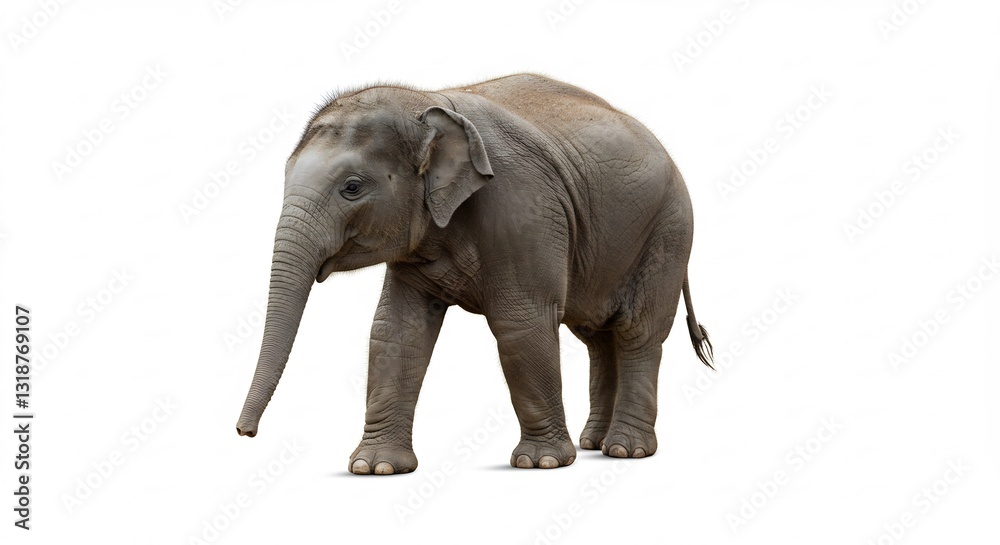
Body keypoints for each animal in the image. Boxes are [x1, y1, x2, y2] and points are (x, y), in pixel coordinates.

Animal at [235, 73, 713, 474]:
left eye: (352, 187)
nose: (244, 432)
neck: (427, 102)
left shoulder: (522, 207)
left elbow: (521, 323)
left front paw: (541, 463)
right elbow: (396, 330)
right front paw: (375, 468)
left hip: (668, 232)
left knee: (637, 331)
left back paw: (625, 451)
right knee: (597, 336)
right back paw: (594, 443)